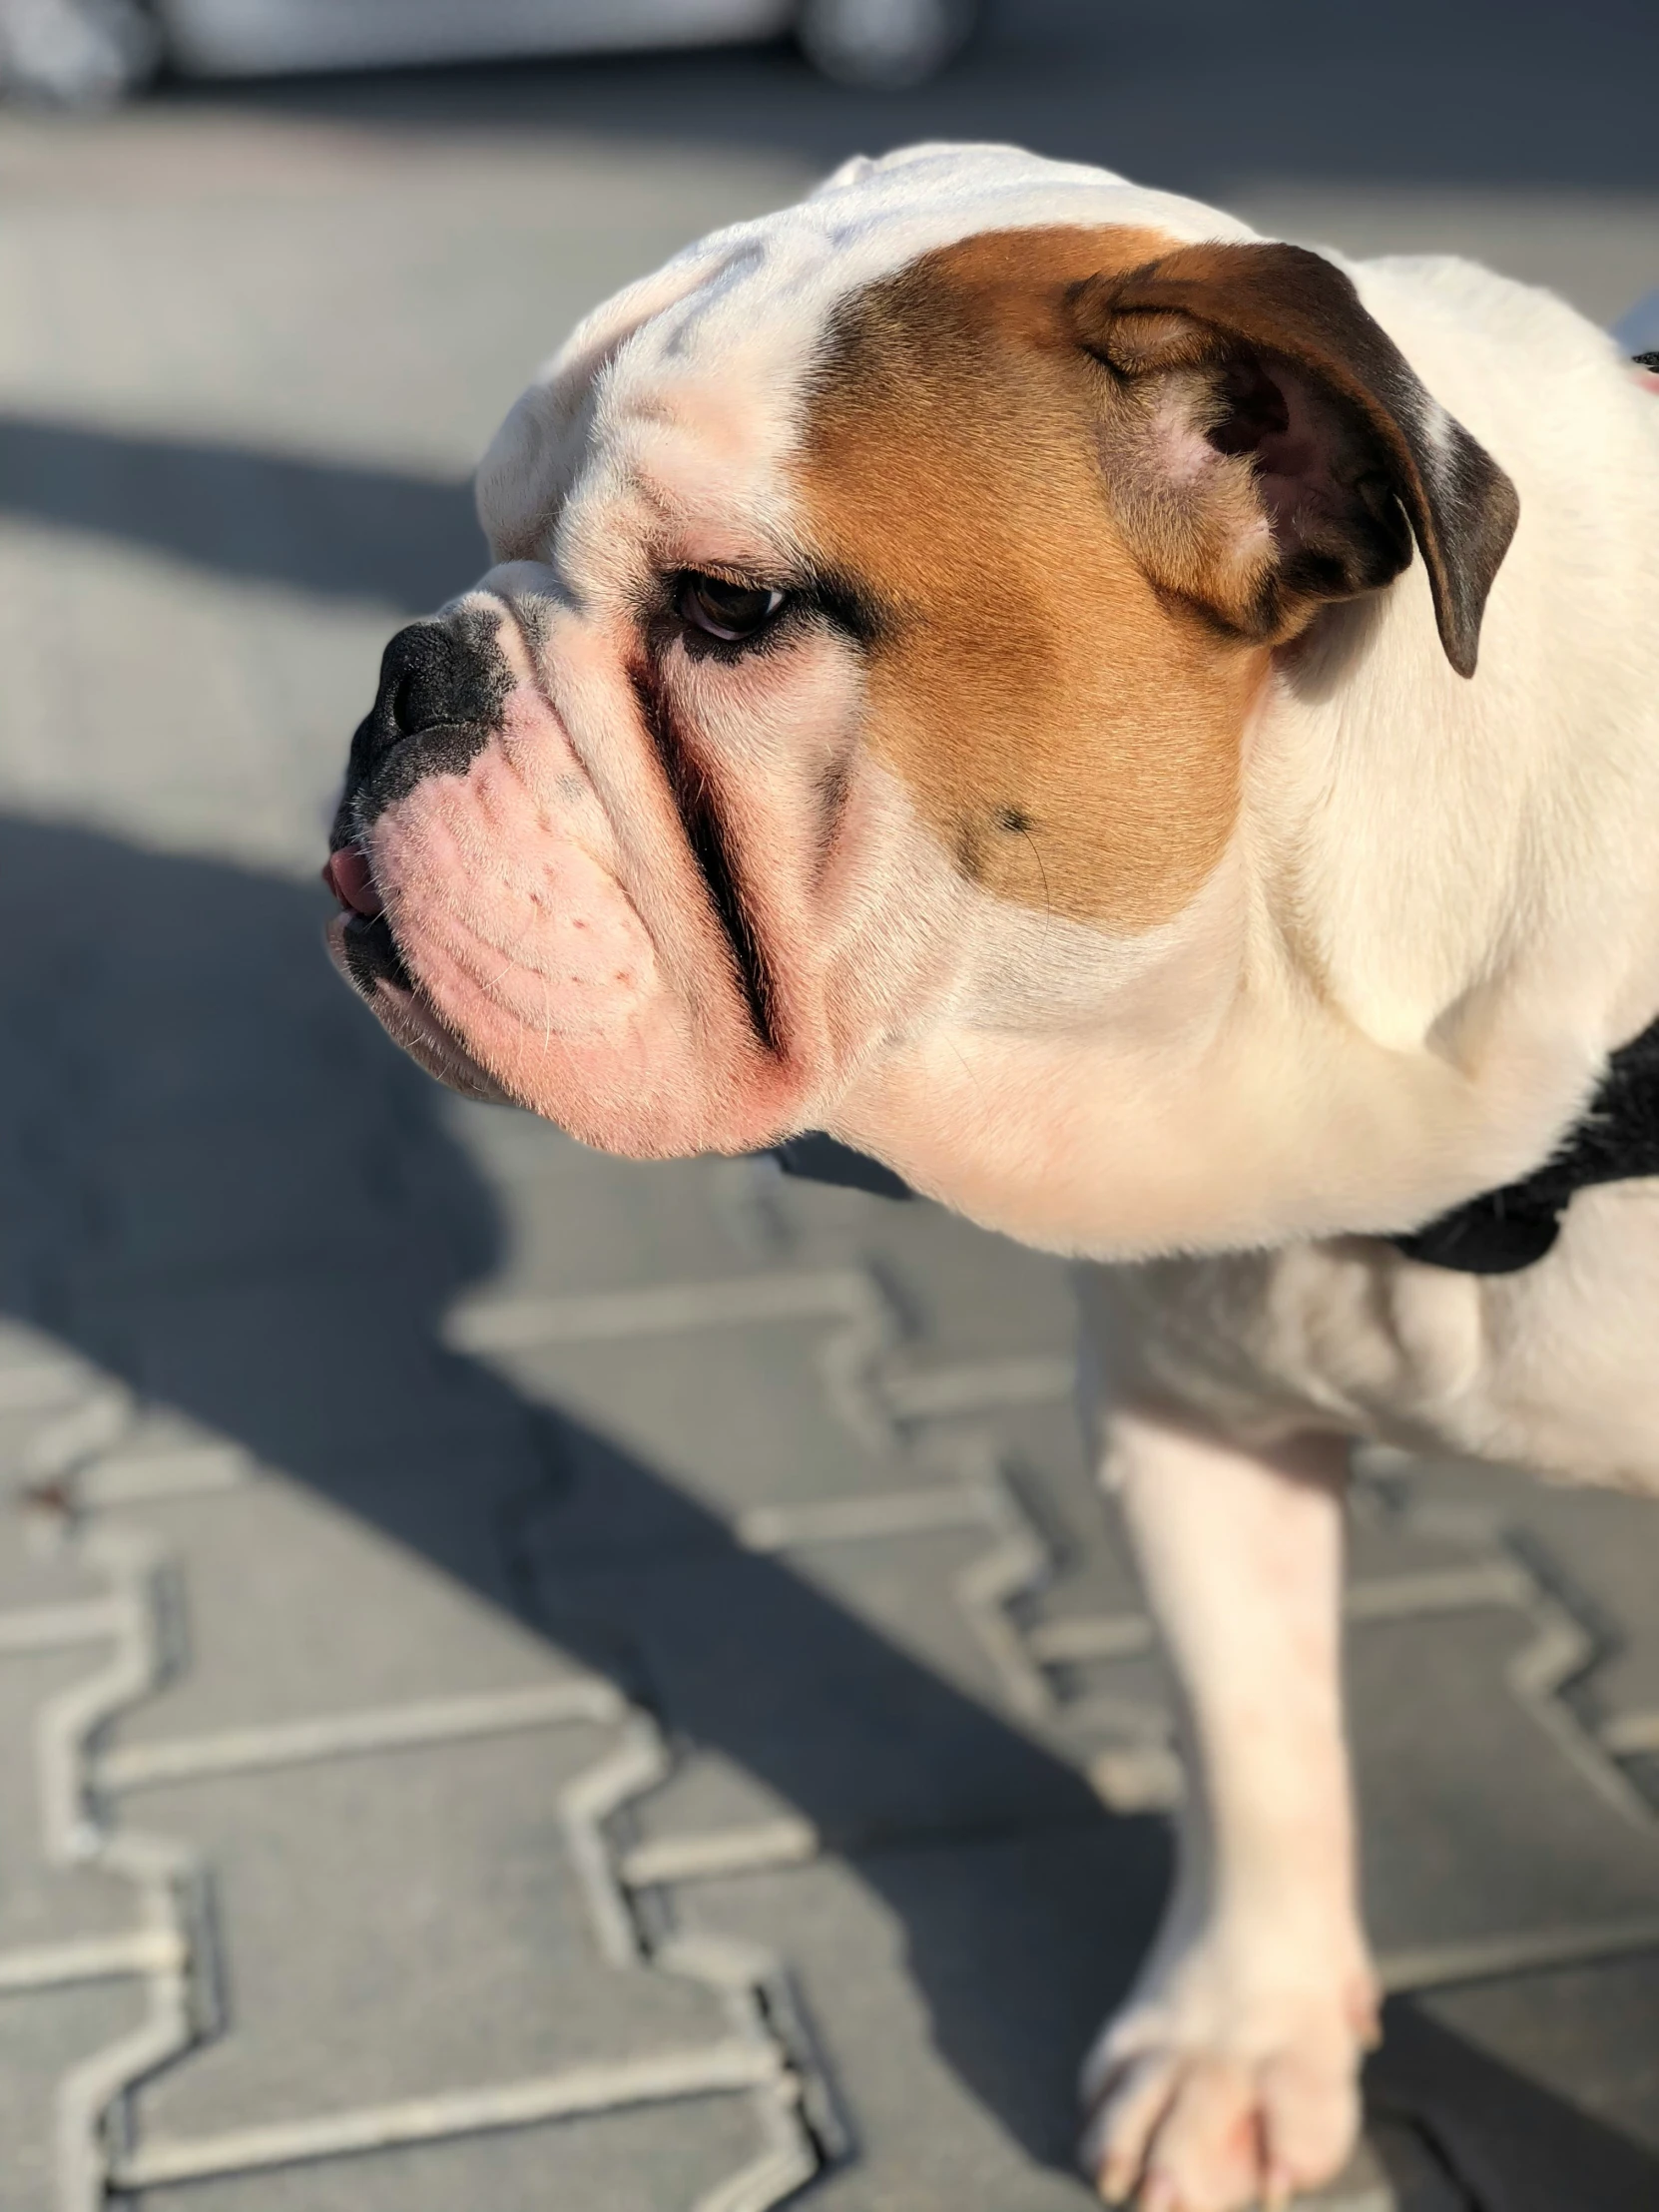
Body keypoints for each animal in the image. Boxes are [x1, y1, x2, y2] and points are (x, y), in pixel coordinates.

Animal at [320, 147, 1659, 2203]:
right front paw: (1238, 2038)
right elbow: (1252, 1738)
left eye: (732, 609)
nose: (411, 674)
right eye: (487, 530)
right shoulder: (1193, 1420)